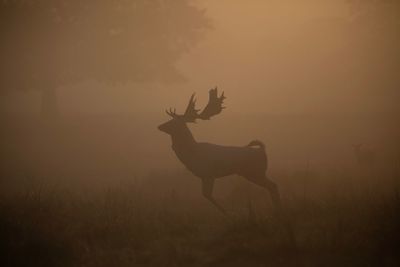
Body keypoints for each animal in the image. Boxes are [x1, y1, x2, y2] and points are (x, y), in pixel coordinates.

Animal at [158, 88, 280, 216]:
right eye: (171, 119)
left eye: (174, 122)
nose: (159, 126)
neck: (192, 154)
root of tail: (262, 150)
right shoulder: (204, 176)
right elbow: (206, 195)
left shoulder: (208, 173)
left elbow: (207, 195)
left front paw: (228, 213)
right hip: (252, 173)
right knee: (272, 186)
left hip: (255, 172)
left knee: (273, 185)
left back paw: (278, 211)